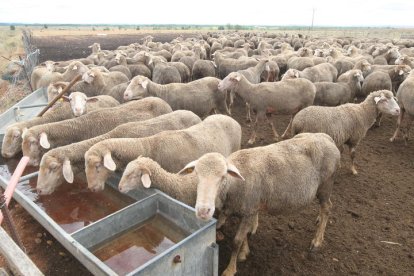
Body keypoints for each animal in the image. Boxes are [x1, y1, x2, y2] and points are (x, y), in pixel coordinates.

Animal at [180, 133, 342, 274]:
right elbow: (244, 235)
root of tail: (326, 137)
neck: (234, 185)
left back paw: (317, 241)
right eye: (196, 175)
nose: (203, 211)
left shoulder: (249, 209)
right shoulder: (249, 209)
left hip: (326, 185)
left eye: (223, 177)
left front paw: (230, 270)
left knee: (327, 208)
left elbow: (236, 241)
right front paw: (244, 252)